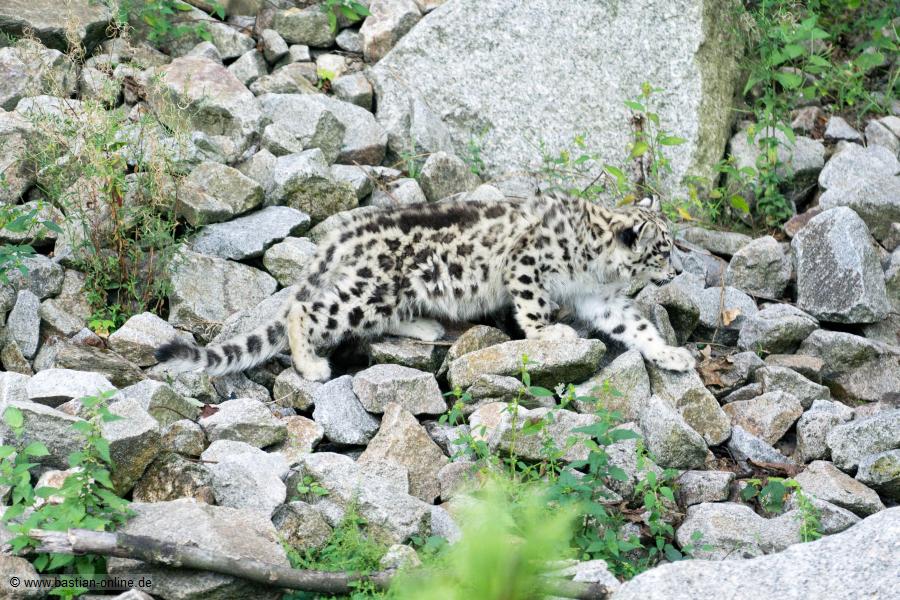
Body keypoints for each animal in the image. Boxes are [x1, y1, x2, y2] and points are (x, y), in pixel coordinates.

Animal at [155, 193, 696, 382]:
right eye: (662, 251)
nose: (675, 274)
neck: (597, 270)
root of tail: (345, 234)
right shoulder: (526, 264)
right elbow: (533, 307)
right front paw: (549, 335)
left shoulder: (600, 300)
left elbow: (636, 327)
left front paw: (671, 354)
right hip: (368, 292)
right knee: (304, 310)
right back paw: (311, 365)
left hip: (384, 295)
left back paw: (426, 326)